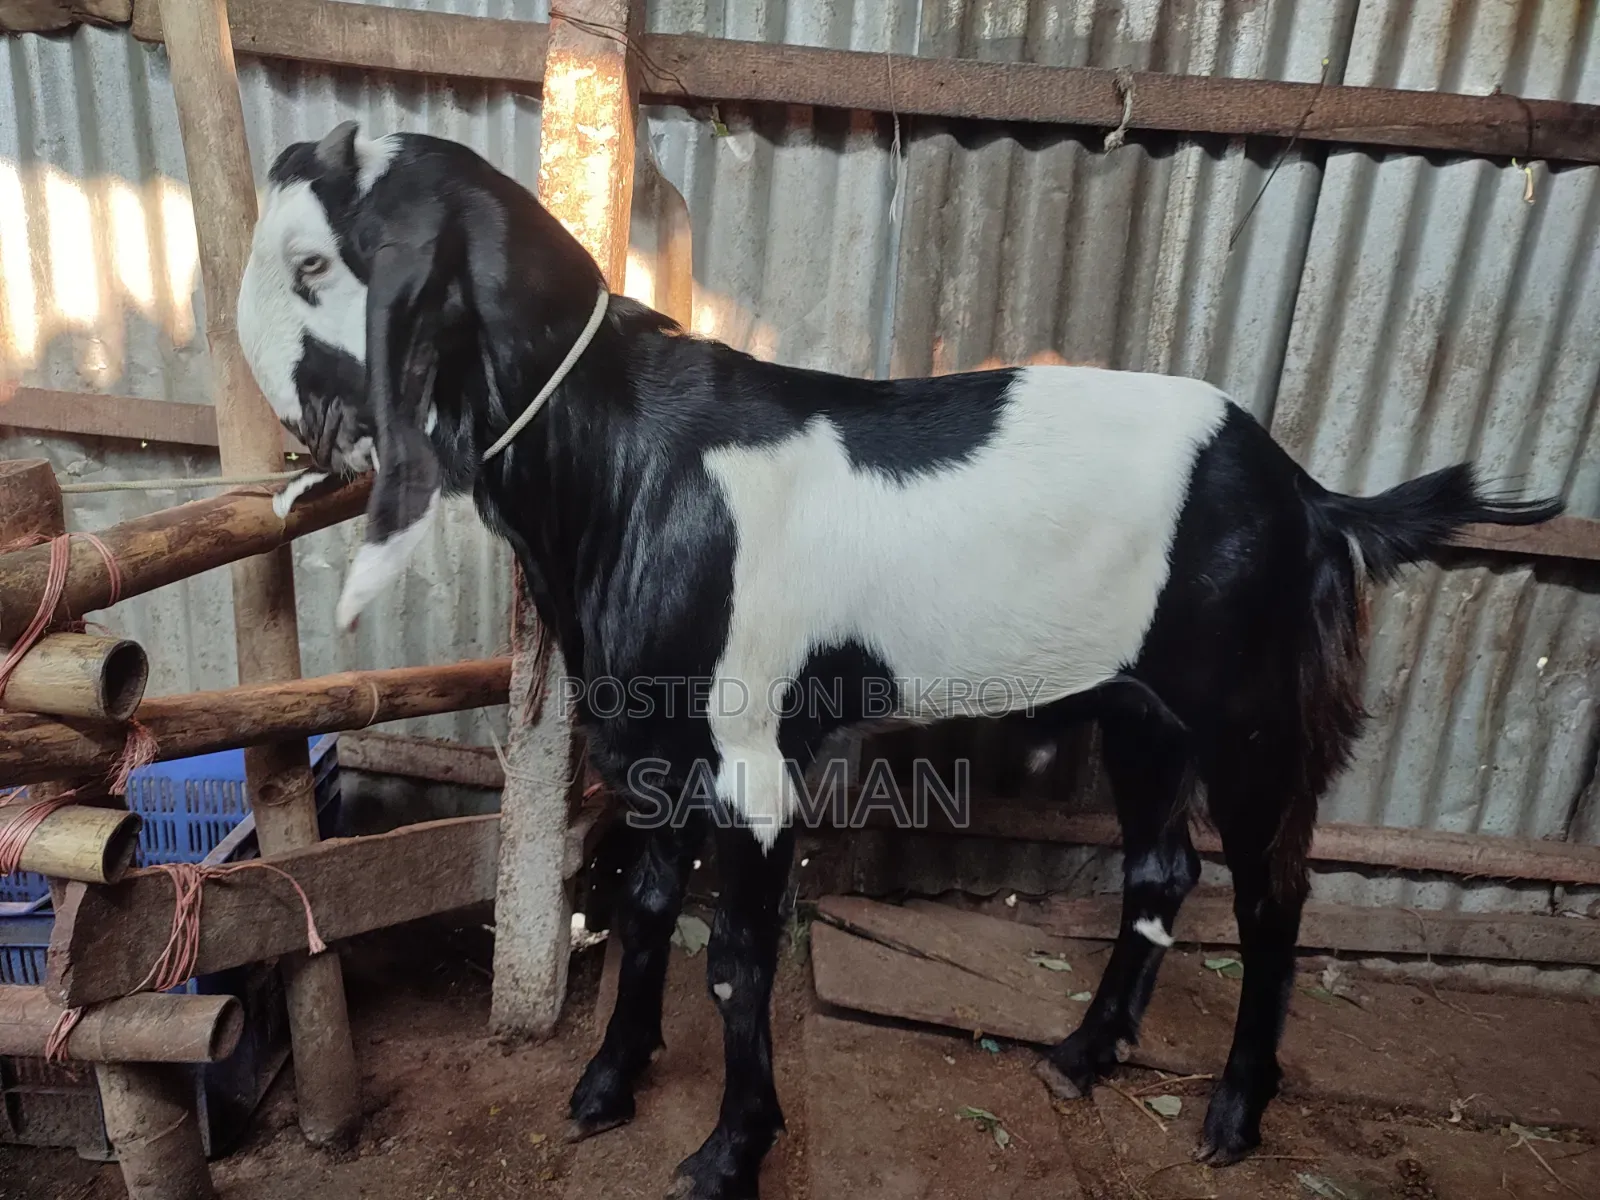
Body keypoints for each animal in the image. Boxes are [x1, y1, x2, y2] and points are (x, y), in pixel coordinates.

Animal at [237, 121, 1564, 1199]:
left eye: (316, 265)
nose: (290, 429)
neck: (624, 457)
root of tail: (1309, 496)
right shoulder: (653, 738)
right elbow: (646, 905)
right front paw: (608, 1084)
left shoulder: (754, 753)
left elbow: (737, 961)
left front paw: (729, 1152)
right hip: (1139, 710)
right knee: (1160, 870)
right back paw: (1081, 1057)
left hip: (1245, 707)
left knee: (1272, 893)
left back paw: (1234, 1116)